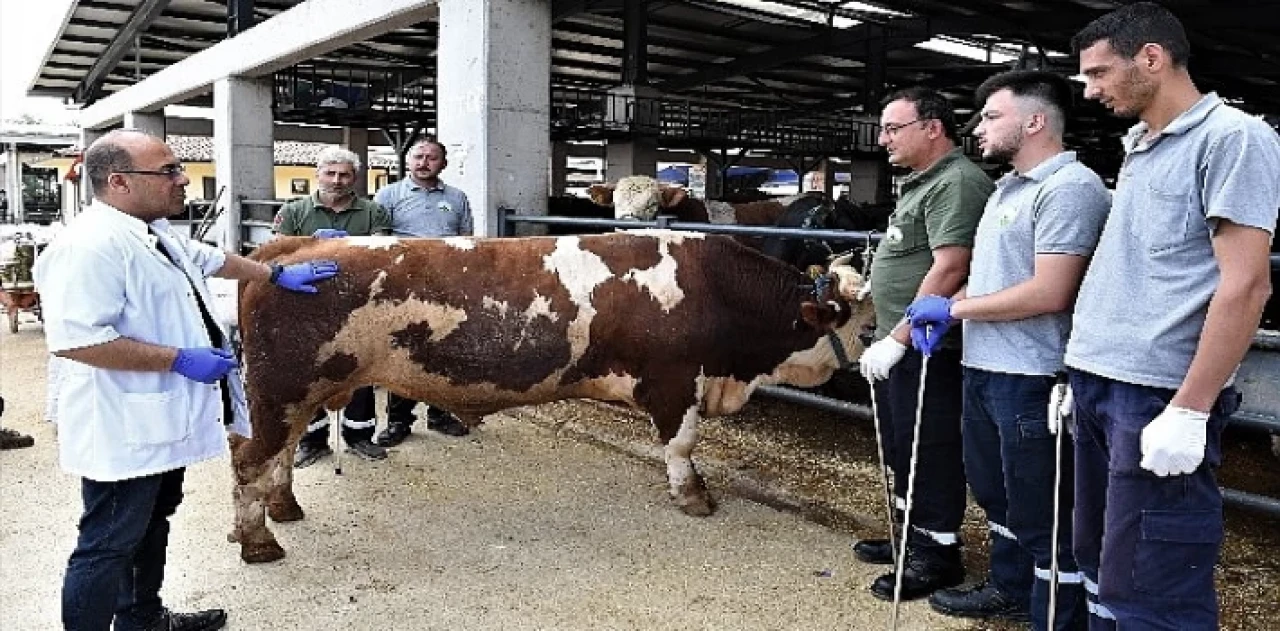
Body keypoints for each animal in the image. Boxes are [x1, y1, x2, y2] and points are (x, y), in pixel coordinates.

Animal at [227, 230, 870, 560]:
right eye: (860, 323)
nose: (865, 378)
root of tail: (287, 248)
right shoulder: (676, 380)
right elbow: (683, 445)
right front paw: (694, 497)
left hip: (300, 394)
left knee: (281, 455)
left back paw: (285, 508)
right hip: (282, 391)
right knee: (251, 460)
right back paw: (259, 541)